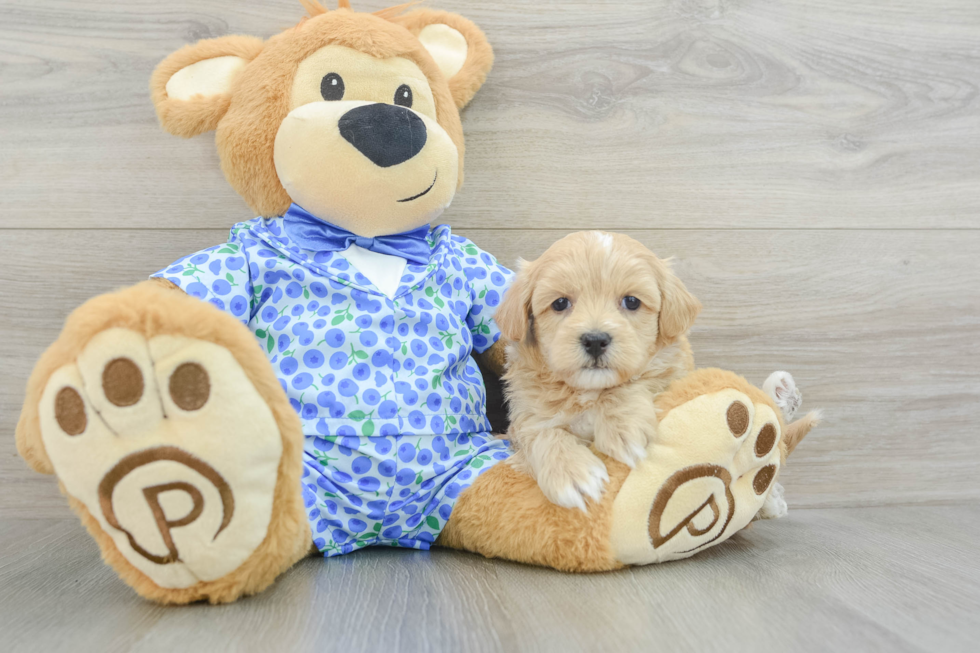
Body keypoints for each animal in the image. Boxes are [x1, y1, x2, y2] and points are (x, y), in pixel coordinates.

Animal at [494, 230, 700, 510]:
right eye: (560, 303)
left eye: (631, 301)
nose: (594, 340)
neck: (586, 391)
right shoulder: (525, 415)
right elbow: (541, 432)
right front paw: (571, 472)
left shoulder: (671, 371)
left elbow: (632, 382)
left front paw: (623, 429)